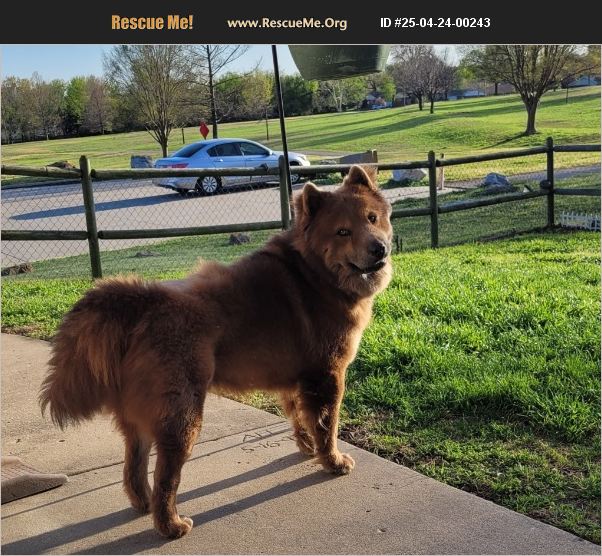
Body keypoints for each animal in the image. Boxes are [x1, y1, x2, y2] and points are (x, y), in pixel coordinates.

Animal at [39, 165, 393, 539]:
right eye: (343, 231)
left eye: (372, 218)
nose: (379, 248)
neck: (314, 273)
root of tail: (145, 302)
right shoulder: (326, 375)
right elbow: (327, 425)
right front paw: (332, 461)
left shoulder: (296, 379)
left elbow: (299, 416)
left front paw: (307, 447)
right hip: (182, 418)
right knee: (166, 476)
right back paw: (170, 524)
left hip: (140, 418)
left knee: (134, 467)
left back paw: (144, 503)